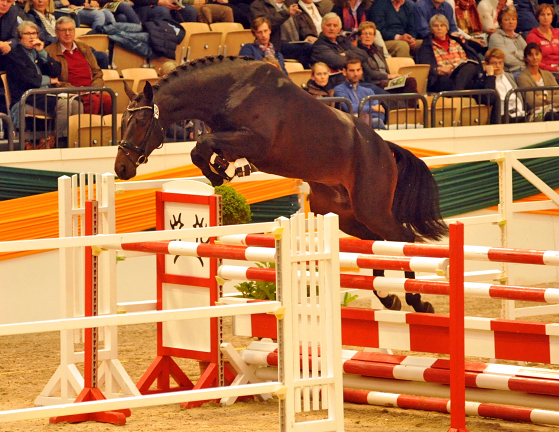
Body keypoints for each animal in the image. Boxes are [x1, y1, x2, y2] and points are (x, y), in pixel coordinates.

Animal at [115, 55, 450, 312]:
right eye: (122, 122)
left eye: (141, 122)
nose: (121, 168)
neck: (231, 91)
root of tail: (383, 147)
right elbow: (201, 148)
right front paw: (221, 172)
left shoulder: (255, 141)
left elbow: (201, 144)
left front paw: (219, 174)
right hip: (345, 213)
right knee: (375, 243)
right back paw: (387, 295)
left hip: (372, 207)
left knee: (401, 238)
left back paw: (416, 299)